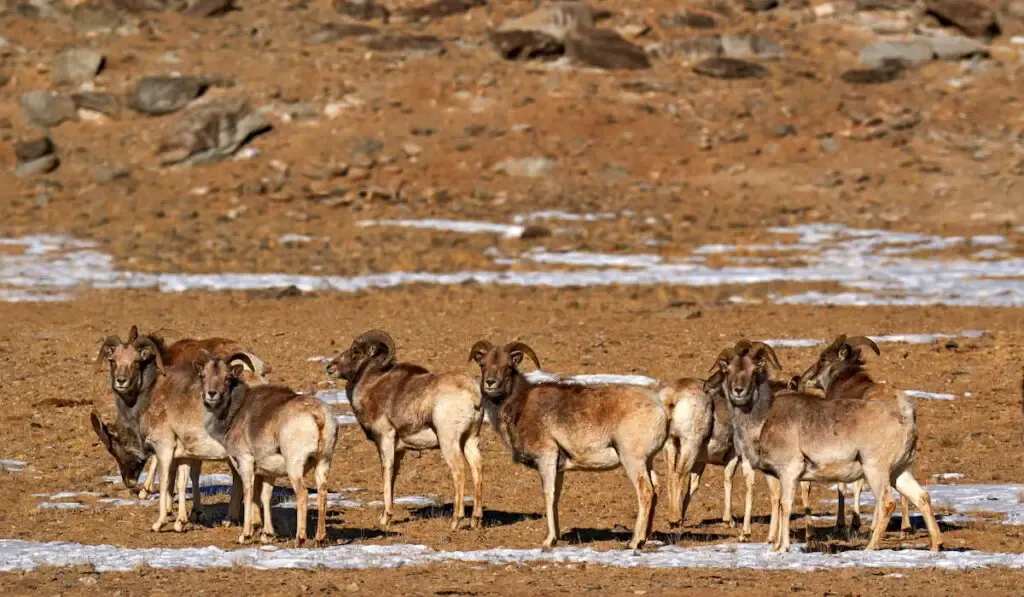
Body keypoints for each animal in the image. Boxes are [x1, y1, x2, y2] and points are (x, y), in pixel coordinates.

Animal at [199, 354, 339, 544]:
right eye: (202, 375)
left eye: (227, 377)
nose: (211, 394)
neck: (235, 413)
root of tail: (318, 416)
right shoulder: (268, 472)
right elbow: (266, 497)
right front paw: (267, 535)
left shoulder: (245, 463)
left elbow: (249, 494)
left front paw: (245, 535)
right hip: (323, 462)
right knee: (322, 493)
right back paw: (320, 538)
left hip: (294, 466)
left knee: (302, 494)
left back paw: (300, 539)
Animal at [327, 329, 487, 528]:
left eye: (356, 351)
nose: (330, 368)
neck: (372, 386)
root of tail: (473, 394)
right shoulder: (399, 450)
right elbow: (393, 475)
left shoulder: (385, 439)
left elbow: (386, 472)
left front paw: (384, 518)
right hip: (470, 440)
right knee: (477, 468)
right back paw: (475, 521)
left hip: (449, 442)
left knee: (458, 471)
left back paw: (455, 521)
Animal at [468, 337, 667, 548]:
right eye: (482, 364)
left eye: (508, 366)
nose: (490, 383)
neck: (520, 405)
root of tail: (661, 408)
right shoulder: (559, 468)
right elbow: (556, 497)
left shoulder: (546, 458)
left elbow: (548, 495)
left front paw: (548, 540)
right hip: (647, 462)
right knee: (655, 489)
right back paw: (644, 539)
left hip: (632, 460)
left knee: (645, 492)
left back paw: (634, 542)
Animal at [716, 342, 937, 552]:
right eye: (728, 370)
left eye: (754, 370)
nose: (738, 390)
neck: (762, 422)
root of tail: (906, 417)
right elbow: (779, 505)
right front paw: (776, 546)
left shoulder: (790, 472)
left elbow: (785, 506)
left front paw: (782, 548)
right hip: (899, 473)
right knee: (922, 497)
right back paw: (936, 545)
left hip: (876, 471)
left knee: (887, 503)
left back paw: (870, 547)